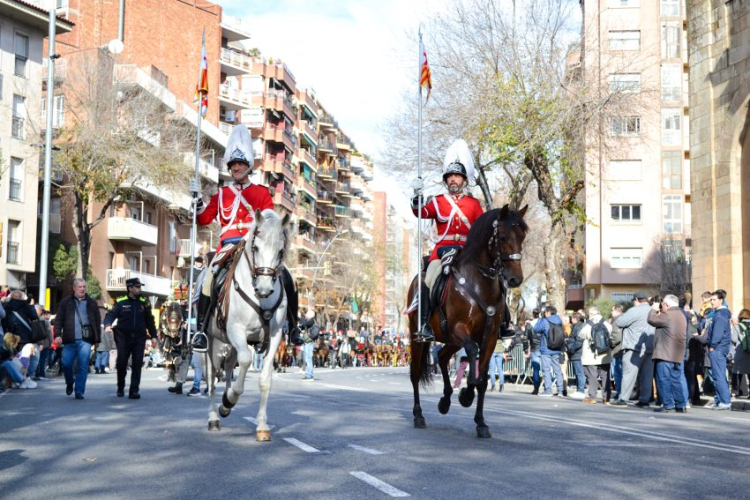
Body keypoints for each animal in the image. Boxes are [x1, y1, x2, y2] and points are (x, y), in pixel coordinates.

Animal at [206, 208, 290, 442]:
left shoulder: (274, 336)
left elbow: (265, 379)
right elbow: (245, 360)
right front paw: (230, 398)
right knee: (211, 377)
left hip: (230, 343)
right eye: (256, 247)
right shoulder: (236, 329)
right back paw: (214, 416)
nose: (264, 289)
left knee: (228, 367)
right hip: (211, 342)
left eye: (281, 251)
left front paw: (261, 425)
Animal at [412, 203, 528, 438]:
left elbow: (482, 379)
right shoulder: (460, 329)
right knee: (416, 373)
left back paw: (445, 400)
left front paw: (480, 422)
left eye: (522, 236)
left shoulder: (490, 337)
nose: (515, 279)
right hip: (420, 339)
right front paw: (466, 393)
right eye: (502, 237)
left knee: (442, 357)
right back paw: (418, 414)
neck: (479, 282)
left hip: (451, 341)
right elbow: (473, 354)